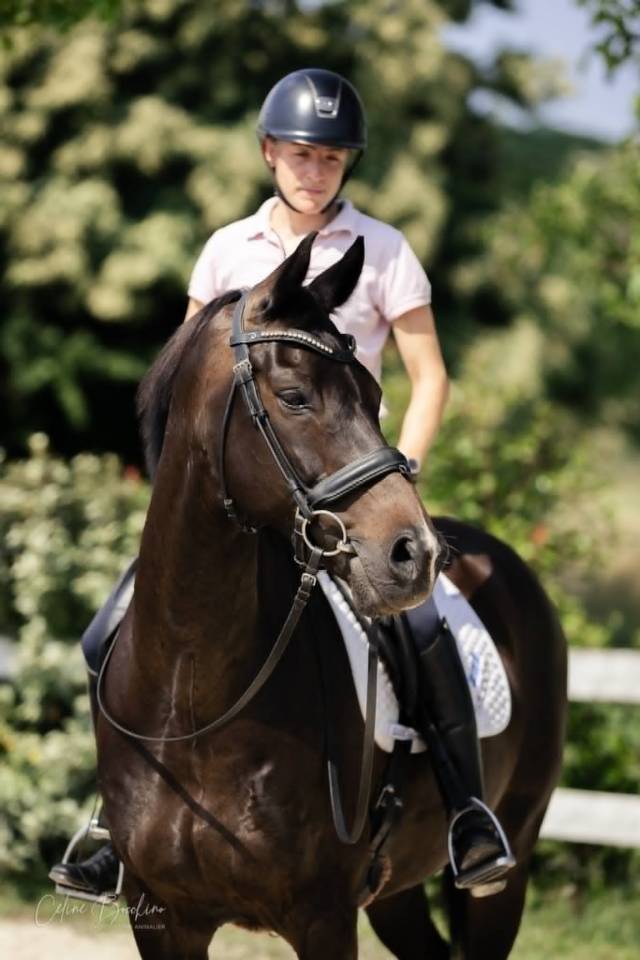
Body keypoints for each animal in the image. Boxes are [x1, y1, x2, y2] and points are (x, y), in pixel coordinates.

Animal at [94, 233, 567, 959]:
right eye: (293, 396)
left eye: (373, 395)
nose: (417, 554)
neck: (195, 695)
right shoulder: (162, 918)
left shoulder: (323, 917)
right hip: (397, 893)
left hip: (504, 874)